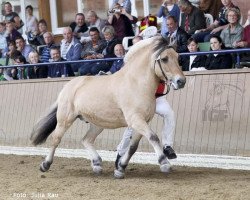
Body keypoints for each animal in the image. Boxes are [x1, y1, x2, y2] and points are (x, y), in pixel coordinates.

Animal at [30, 36, 186, 178]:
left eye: (178, 57)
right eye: (164, 59)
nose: (181, 81)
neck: (136, 83)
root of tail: (68, 86)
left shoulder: (142, 122)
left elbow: (133, 147)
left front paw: (120, 168)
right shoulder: (136, 120)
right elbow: (153, 137)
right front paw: (164, 163)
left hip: (98, 123)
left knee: (86, 140)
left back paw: (97, 164)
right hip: (65, 119)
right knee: (56, 139)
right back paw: (45, 165)